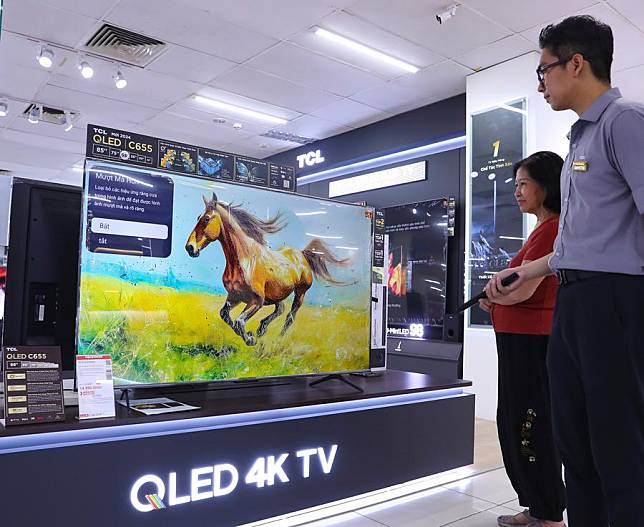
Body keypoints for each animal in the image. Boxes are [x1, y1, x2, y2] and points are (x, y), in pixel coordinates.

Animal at [76, 159, 372, 386]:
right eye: (197, 217)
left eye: (206, 219)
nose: (190, 248)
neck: (244, 259)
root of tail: (302, 254)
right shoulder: (235, 298)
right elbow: (225, 316)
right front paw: (252, 335)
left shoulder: (255, 301)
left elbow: (240, 322)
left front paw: (250, 338)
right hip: (277, 294)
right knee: (278, 310)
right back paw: (262, 330)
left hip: (298, 293)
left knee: (289, 316)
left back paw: (274, 338)